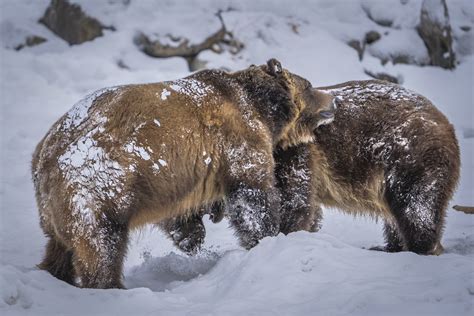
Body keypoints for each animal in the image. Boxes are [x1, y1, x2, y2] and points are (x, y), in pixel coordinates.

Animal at [31, 59, 336, 288]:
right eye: (309, 85)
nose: (332, 100)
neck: (262, 109)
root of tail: (44, 156)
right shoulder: (237, 137)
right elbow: (251, 192)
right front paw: (266, 236)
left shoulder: (178, 175)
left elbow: (180, 211)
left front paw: (192, 238)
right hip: (100, 185)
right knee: (102, 245)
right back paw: (111, 285)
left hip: (56, 208)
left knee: (59, 247)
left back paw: (54, 273)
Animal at [164, 79, 460, 256]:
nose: (189, 240)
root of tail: (445, 121)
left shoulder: (294, 154)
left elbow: (291, 200)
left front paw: (275, 238)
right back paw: (390, 247)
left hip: (410, 155)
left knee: (416, 207)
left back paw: (419, 247)